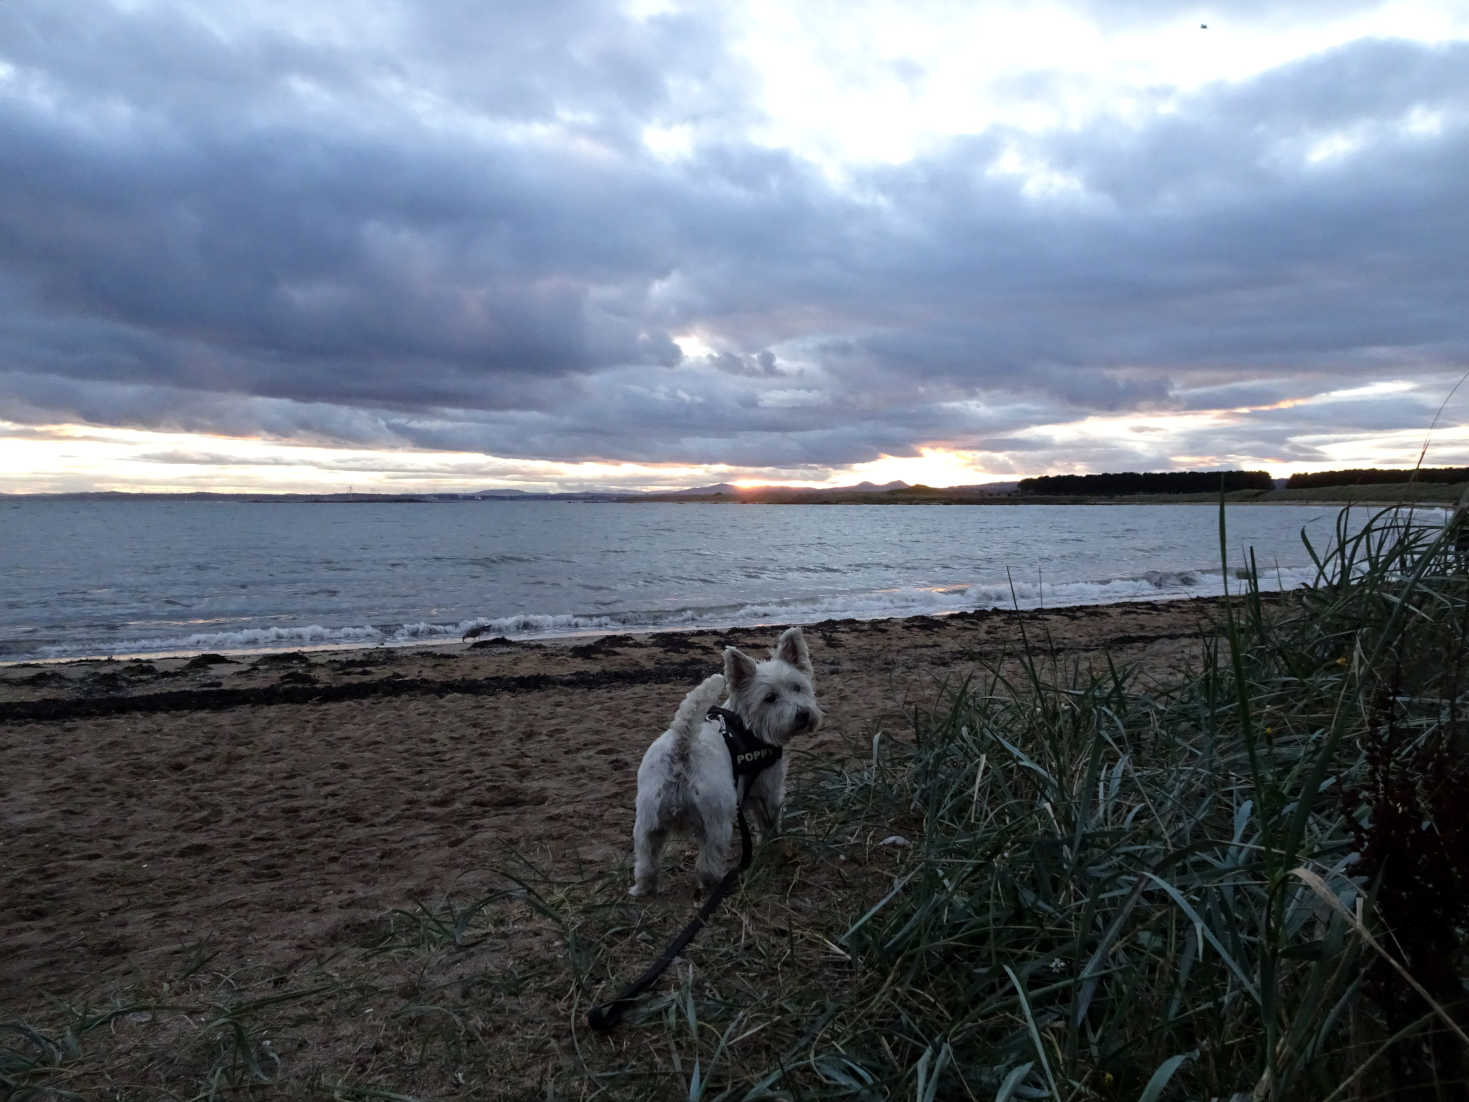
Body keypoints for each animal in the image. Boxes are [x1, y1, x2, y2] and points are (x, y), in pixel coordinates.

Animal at [625, 628, 822, 899]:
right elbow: (770, 820)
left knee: (646, 860)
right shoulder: (768, 788)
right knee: (707, 862)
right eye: (770, 698)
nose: (803, 714)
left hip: (648, 821)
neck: (747, 725)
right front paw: (773, 843)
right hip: (716, 819)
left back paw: (644, 888)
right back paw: (717, 883)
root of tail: (681, 748)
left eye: (797, 687)